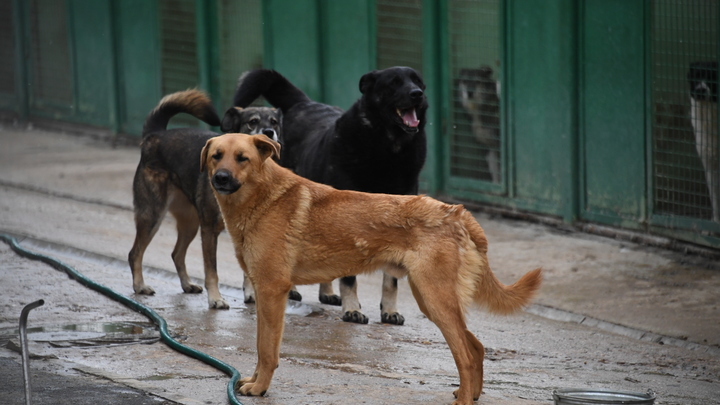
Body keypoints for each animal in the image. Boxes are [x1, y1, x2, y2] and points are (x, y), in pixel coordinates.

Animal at [198, 133, 540, 404]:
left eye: (242, 158)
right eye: (217, 156)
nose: (221, 178)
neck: (263, 197)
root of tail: (456, 212)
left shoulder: (272, 291)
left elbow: (267, 350)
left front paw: (260, 388)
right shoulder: (263, 292)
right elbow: (259, 346)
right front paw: (253, 381)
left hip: (436, 300)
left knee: (466, 356)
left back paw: (465, 400)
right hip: (432, 300)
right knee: (477, 347)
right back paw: (470, 393)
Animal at [232, 67, 428, 326]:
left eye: (417, 81)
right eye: (394, 83)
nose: (417, 94)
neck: (386, 148)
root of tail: (303, 102)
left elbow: (391, 279)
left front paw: (389, 310)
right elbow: (349, 277)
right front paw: (352, 308)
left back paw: (326, 292)